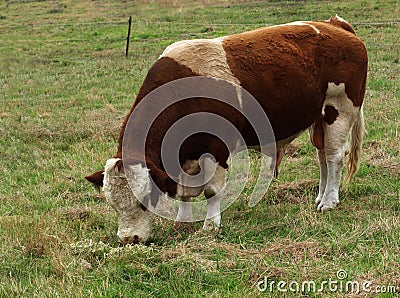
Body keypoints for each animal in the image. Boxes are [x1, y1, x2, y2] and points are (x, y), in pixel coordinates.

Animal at [86, 16, 368, 243]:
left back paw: (329, 201)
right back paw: (320, 197)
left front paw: (211, 226)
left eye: (145, 202)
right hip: (319, 120)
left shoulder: (217, 148)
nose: (129, 239)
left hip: (339, 110)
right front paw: (182, 221)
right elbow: (184, 192)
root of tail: (334, 25)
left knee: (334, 157)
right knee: (322, 157)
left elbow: (212, 190)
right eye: (113, 205)